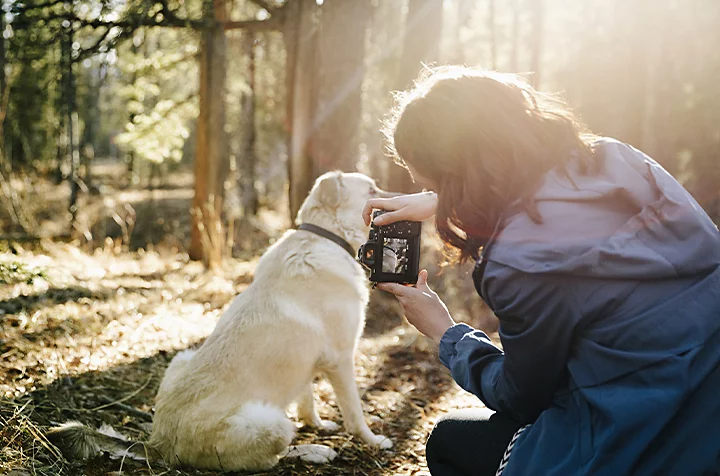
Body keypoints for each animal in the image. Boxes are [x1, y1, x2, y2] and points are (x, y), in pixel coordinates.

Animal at [47, 171, 396, 472]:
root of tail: (159, 442)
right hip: (270, 422)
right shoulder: (341, 359)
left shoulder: (309, 363)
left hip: (182, 358)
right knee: (273, 458)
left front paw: (319, 425)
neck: (326, 237)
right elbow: (355, 414)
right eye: (371, 190)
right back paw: (316, 452)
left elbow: (306, 402)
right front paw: (373, 441)